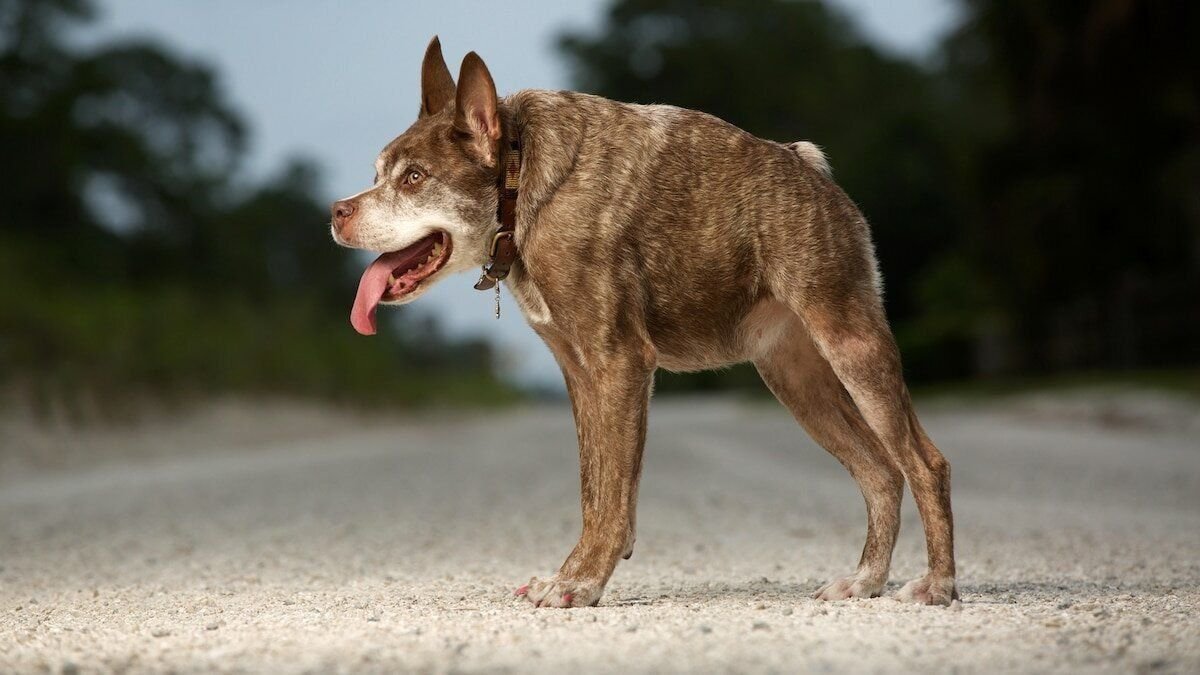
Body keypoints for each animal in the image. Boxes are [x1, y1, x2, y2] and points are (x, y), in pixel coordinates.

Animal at [328, 35, 955, 605]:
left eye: (414, 178)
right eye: (378, 174)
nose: (336, 211)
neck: (519, 177)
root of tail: (811, 168)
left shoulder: (620, 361)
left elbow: (612, 490)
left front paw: (579, 583)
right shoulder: (580, 372)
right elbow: (597, 486)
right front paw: (577, 573)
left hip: (850, 345)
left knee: (924, 464)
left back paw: (938, 586)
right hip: (796, 379)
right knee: (880, 472)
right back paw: (865, 580)